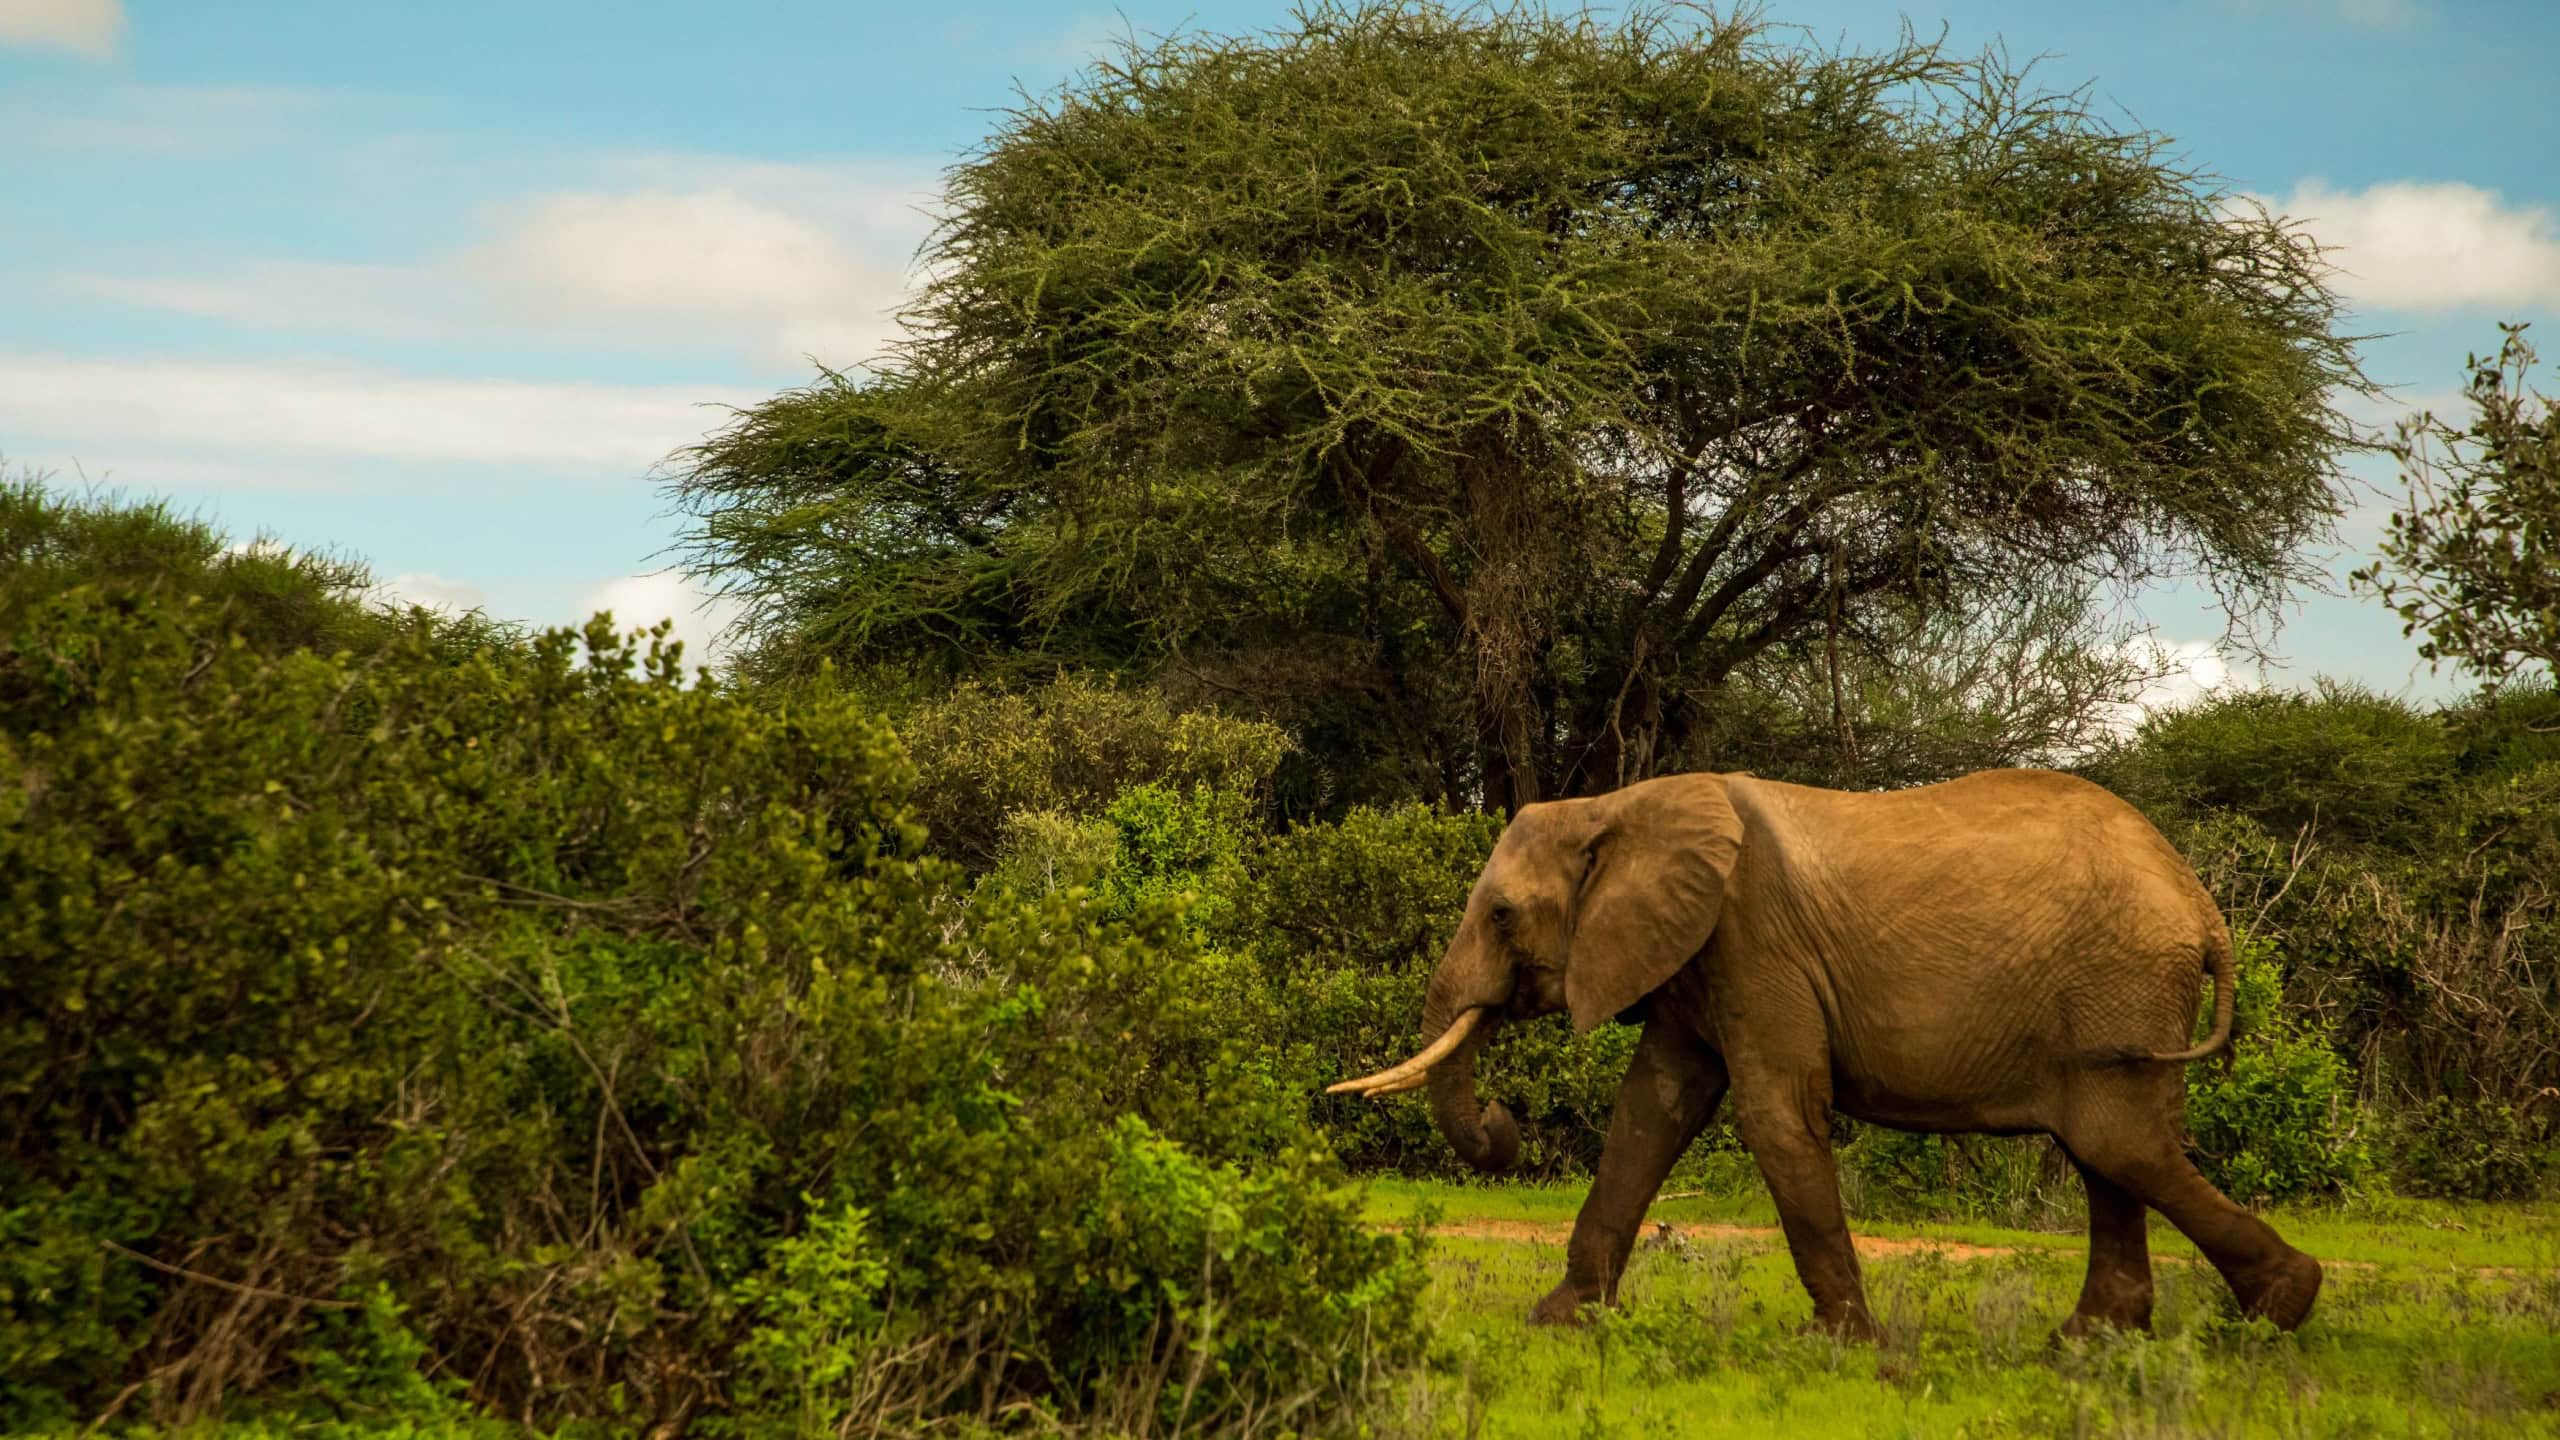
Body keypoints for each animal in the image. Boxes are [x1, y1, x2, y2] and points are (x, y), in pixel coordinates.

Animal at [1331, 768, 2322, 1340]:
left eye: (1501, 915)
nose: (1503, 1121)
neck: (1618, 806)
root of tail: (2204, 907)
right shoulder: (1695, 952)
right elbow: (1650, 1112)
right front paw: (1559, 1321)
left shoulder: (1752, 935)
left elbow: (1773, 1113)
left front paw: (1839, 1344)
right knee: (2109, 1154)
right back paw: (2091, 1343)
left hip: (2125, 987)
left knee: (2120, 1144)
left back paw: (2282, 1308)